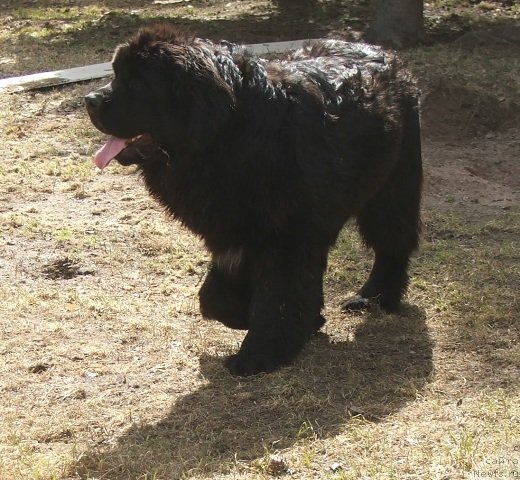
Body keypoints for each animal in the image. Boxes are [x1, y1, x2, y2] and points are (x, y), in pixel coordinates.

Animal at [85, 24, 422, 376]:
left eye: (137, 84)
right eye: (116, 74)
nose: (89, 100)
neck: (230, 136)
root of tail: (383, 51)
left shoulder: (286, 237)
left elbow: (277, 298)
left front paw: (258, 355)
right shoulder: (237, 234)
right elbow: (215, 297)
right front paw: (292, 321)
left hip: (393, 185)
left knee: (392, 242)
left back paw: (374, 298)